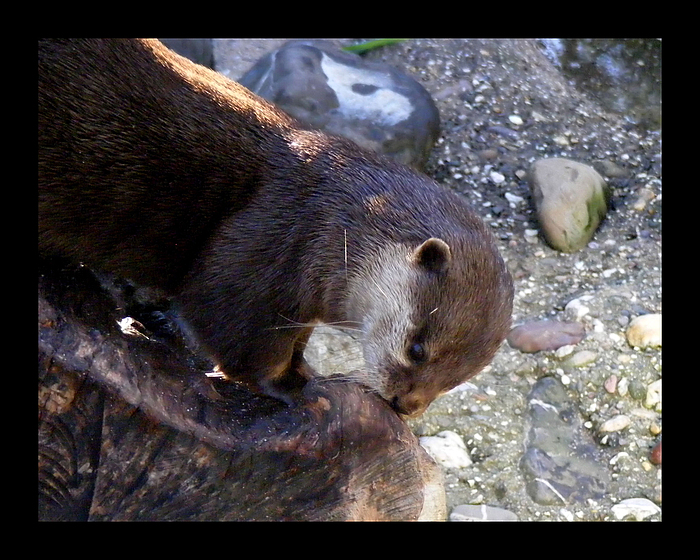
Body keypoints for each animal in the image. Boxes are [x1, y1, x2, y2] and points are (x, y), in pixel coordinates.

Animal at [38, 39, 512, 416]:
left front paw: (303, 367)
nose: (406, 406)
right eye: (417, 349)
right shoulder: (268, 248)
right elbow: (234, 331)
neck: (327, 218)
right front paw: (297, 387)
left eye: (459, 378)